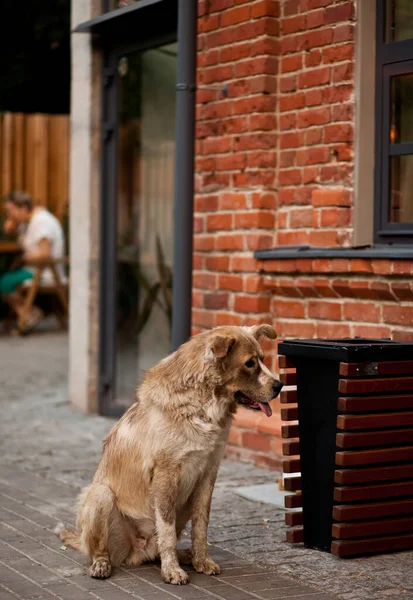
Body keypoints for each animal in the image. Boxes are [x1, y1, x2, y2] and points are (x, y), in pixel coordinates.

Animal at [56, 326, 282, 584]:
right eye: (250, 363)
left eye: (262, 359)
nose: (280, 385)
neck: (202, 405)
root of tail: (139, 551)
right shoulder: (166, 474)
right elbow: (166, 529)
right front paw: (172, 570)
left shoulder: (208, 473)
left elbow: (201, 526)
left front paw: (201, 560)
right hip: (100, 495)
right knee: (100, 549)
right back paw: (102, 564)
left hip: (183, 502)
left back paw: (187, 555)